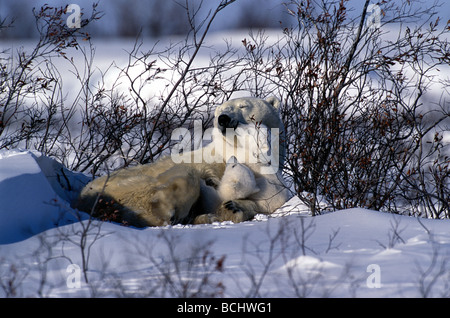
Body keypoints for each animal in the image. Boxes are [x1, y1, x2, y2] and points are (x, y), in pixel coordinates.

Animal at [73, 96, 292, 226]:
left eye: (243, 105)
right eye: (219, 110)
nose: (222, 118)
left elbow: (271, 198)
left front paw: (235, 206)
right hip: (126, 186)